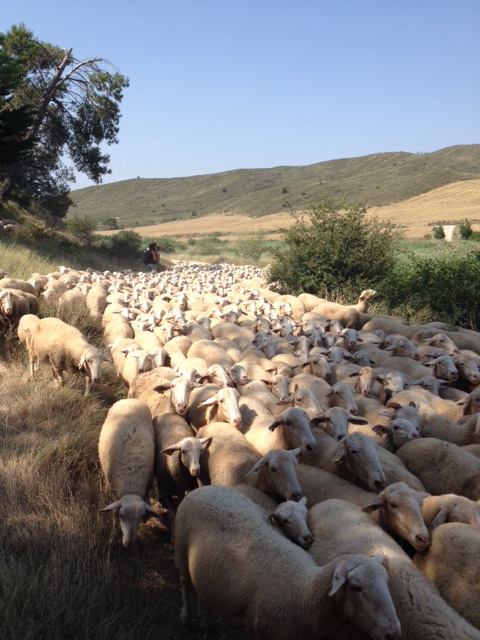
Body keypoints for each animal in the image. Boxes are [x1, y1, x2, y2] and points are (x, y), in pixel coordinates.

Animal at [98, 399, 158, 547]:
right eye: (121, 516)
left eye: (140, 517)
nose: (129, 544)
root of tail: (130, 399)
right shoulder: (113, 489)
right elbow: (113, 510)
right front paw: (114, 534)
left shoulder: (148, 483)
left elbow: (146, 496)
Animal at [174, 485, 401, 639]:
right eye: (355, 587)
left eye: (386, 582)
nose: (393, 633)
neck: (303, 592)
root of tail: (204, 488)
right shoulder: (259, 631)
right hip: (181, 546)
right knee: (184, 581)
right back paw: (185, 617)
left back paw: (203, 622)